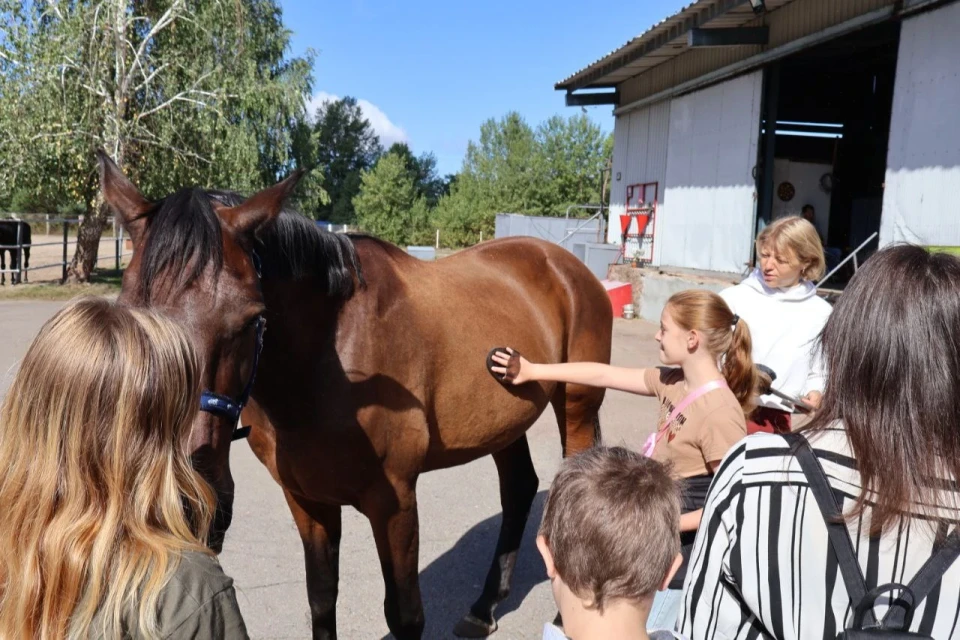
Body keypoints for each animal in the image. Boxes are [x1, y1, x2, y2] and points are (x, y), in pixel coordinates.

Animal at [101, 155, 612, 640]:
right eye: (127, 312)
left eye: (251, 318)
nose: (181, 505)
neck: (328, 369)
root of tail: (564, 264)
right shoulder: (307, 500)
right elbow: (321, 598)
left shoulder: (395, 504)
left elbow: (404, 615)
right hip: (504, 422)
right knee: (520, 488)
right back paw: (484, 608)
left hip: (576, 406)